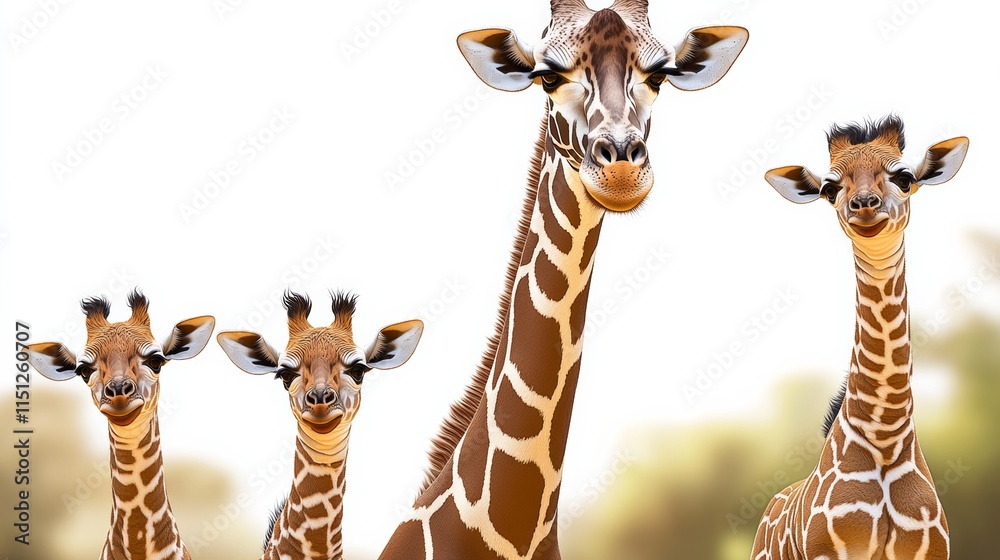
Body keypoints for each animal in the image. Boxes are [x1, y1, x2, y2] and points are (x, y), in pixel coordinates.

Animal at [751, 116, 970, 560]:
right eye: (829, 189)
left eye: (904, 178)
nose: (864, 205)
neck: (885, 432)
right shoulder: (830, 552)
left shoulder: (928, 552)